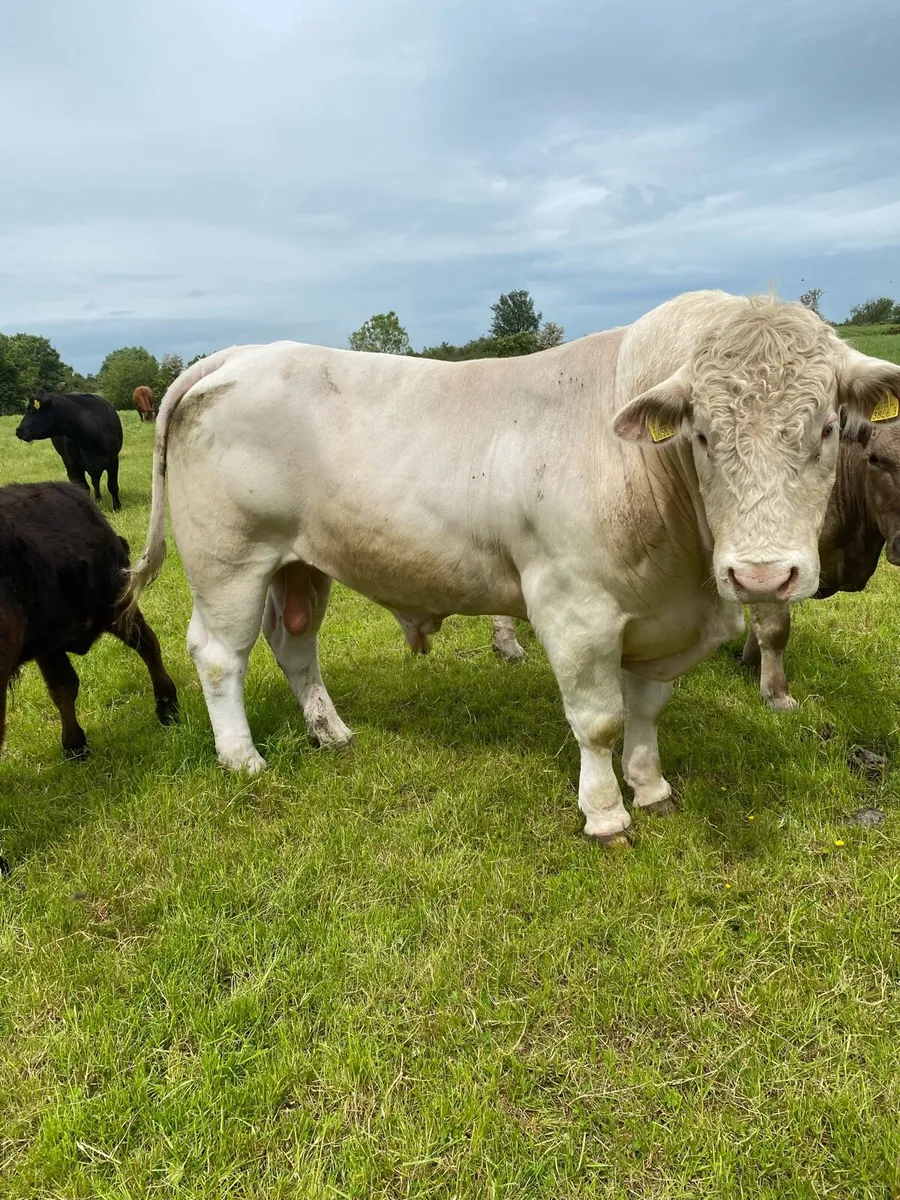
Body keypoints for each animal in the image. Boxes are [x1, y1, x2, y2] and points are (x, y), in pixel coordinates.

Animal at [0, 482, 178, 763]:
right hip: (53, 638)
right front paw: (75, 746)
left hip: (115, 606)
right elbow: (61, 686)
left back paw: (167, 706)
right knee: (64, 685)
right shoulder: (44, 648)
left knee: (147, 644)